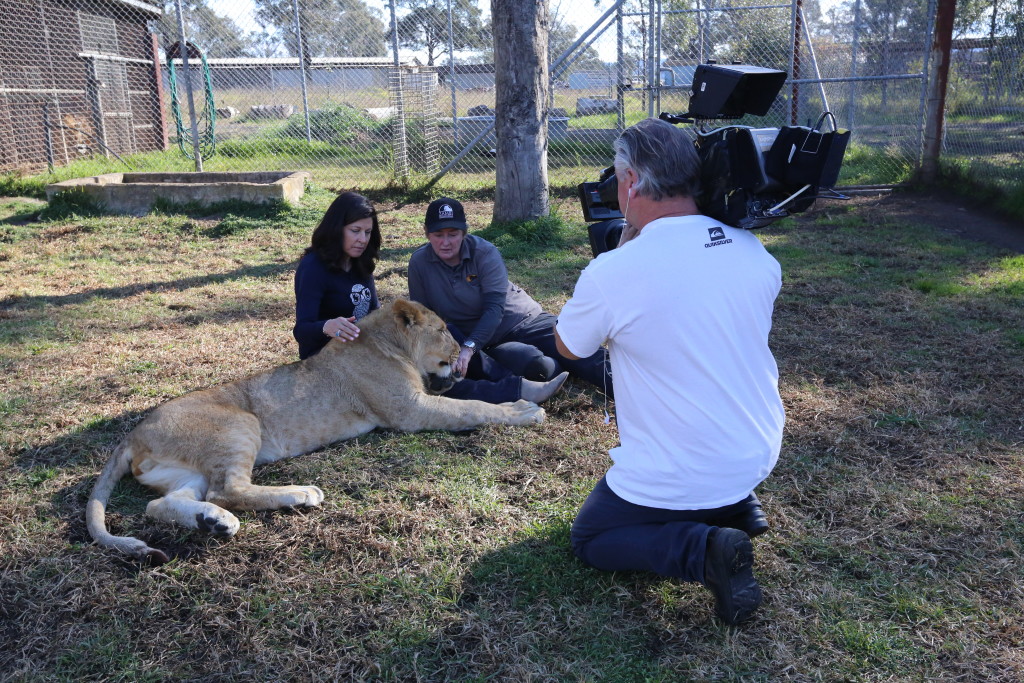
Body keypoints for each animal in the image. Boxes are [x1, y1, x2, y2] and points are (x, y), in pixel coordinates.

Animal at [88, 301, 544, 565]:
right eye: (443, 329)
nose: (458, 353)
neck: (387, 343)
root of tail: (134, 432)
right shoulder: (409, 411)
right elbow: (473, 407)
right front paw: (524, 409)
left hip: (184, 472)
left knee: (162, 504)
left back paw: (212, 522)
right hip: (240, 424)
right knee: (228, 488)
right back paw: (300, 494)